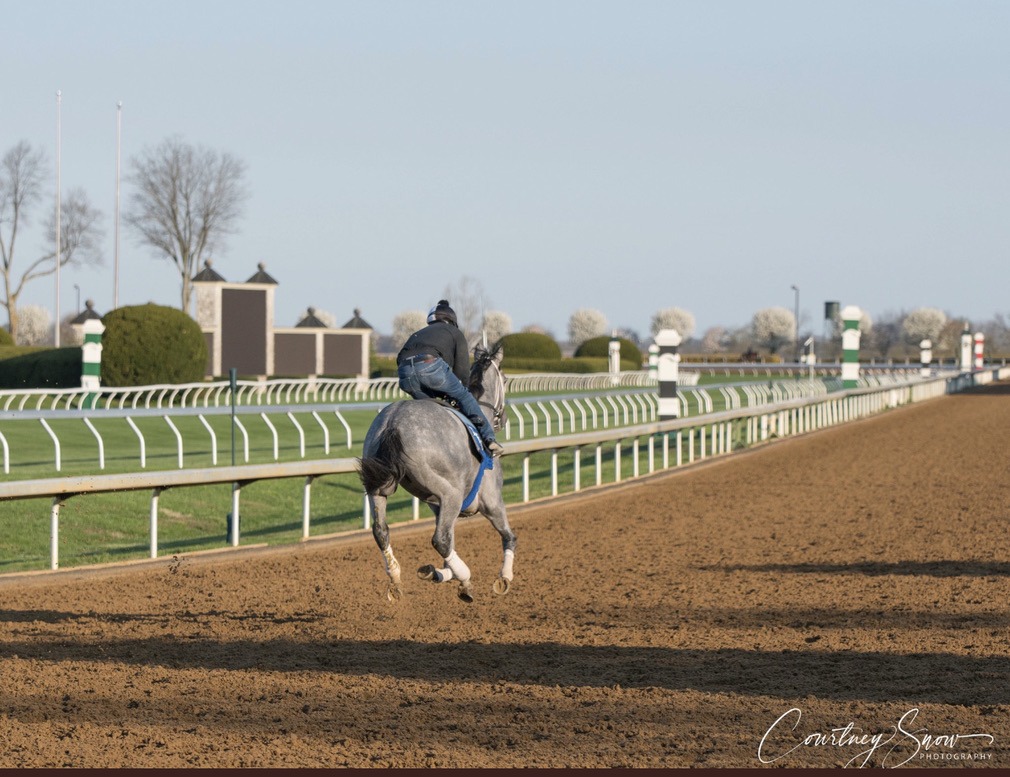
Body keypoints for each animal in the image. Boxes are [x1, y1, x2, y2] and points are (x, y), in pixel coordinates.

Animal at [356, 342, 516, 603]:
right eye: (504, 378)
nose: (503, 418)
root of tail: (393, 423)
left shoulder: (438, 507)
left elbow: (451, 544)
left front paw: (438, 572)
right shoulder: (492, 502)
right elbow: (508, 537)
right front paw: (504, 577)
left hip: (378, 487)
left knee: (381, 531)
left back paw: (396, 578)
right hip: (450, 493)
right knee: (439, 539)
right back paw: (466, 579)